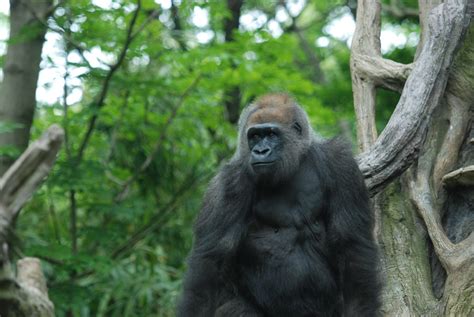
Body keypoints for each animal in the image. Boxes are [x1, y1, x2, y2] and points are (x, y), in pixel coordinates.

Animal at [178, 92, 382, 314]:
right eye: (254, 136)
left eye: (271, 134)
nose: (260, 151)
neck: (294, 162)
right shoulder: (229, 182)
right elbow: (211, 262)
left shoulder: (341, 165)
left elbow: (352, 246)